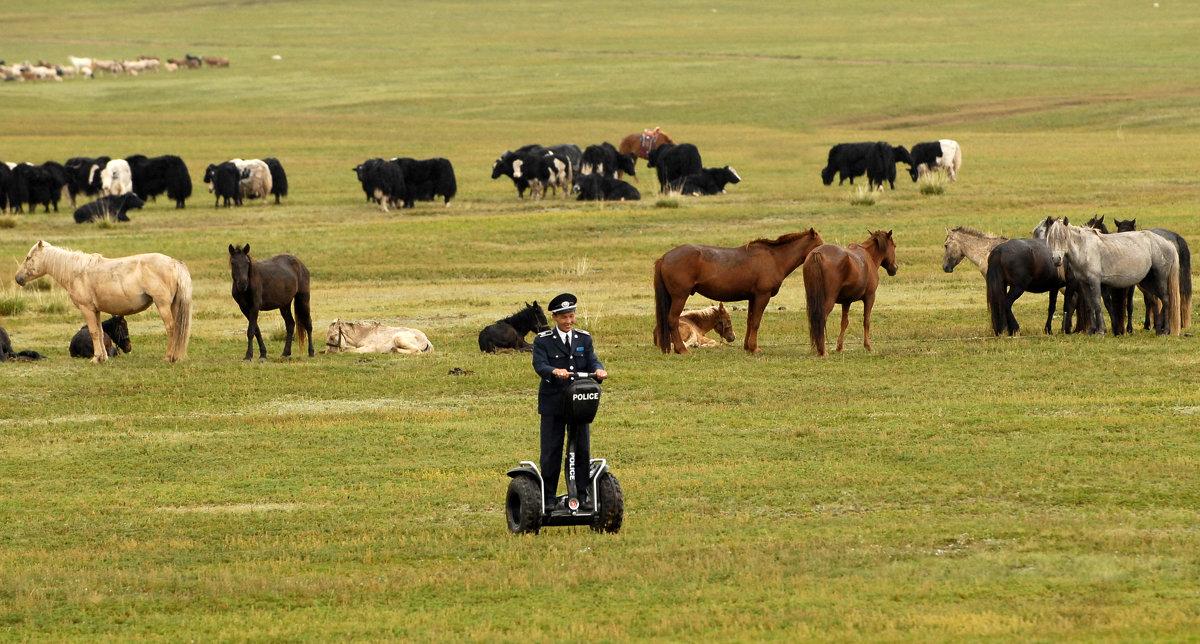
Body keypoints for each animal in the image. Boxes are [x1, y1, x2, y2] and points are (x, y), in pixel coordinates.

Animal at [13, 239, 189, 362]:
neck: (76, 272)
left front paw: (96, 358)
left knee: (171, 328)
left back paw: (169, 357)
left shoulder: (87, 309)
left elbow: (93, 332)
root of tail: (174, 262)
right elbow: (99, 331)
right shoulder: (95, 310)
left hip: (163, 305)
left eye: (28, 258)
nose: (18, 278)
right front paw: (102, 357)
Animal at [657, 229, 825, 354]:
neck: (774, 258)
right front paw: (755, 348)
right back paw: (682, 350)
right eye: (820, 244)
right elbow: (756, 322)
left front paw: (748, 347)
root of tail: (664, 257)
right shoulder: (762, 296)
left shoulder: (753, 298)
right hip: (679, 297)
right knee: (672, 320)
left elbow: (750, 322)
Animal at [1041, 217, 1180, 335]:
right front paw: (1091, 331)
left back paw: (1165, 331)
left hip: (1159, 279)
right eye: (1051, 239)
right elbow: (1090, 306)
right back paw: (1158, 329)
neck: (1085, 249)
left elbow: (1097, 304)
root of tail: (1168, 243)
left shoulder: (1095, 281)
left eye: (1064, 237)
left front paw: (1101, 331)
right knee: (1156, 301)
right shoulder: (1084, 283)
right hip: (1147, 282)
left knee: (1166, 300)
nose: (1056, 259)